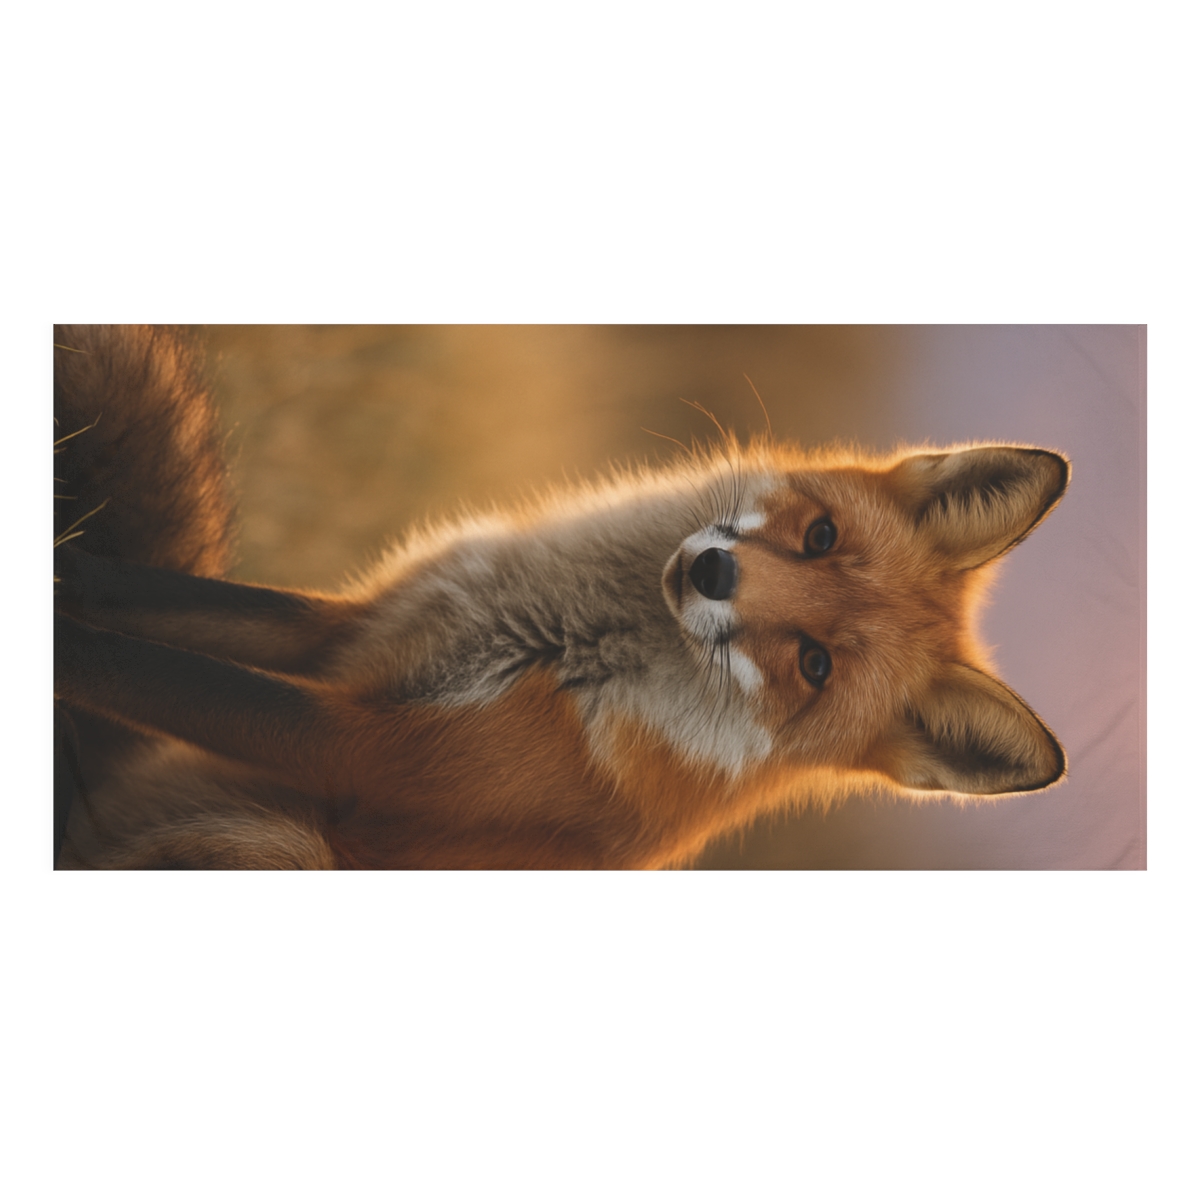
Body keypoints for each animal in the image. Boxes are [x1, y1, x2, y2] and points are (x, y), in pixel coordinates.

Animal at [53, 324, 1069, 869]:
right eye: (821, 536)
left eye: (814, 666)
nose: (714, 573)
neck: (575, 638)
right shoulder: (363, 630)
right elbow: (133, 592)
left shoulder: (371, 751)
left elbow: (125, 661)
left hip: (276, 845)